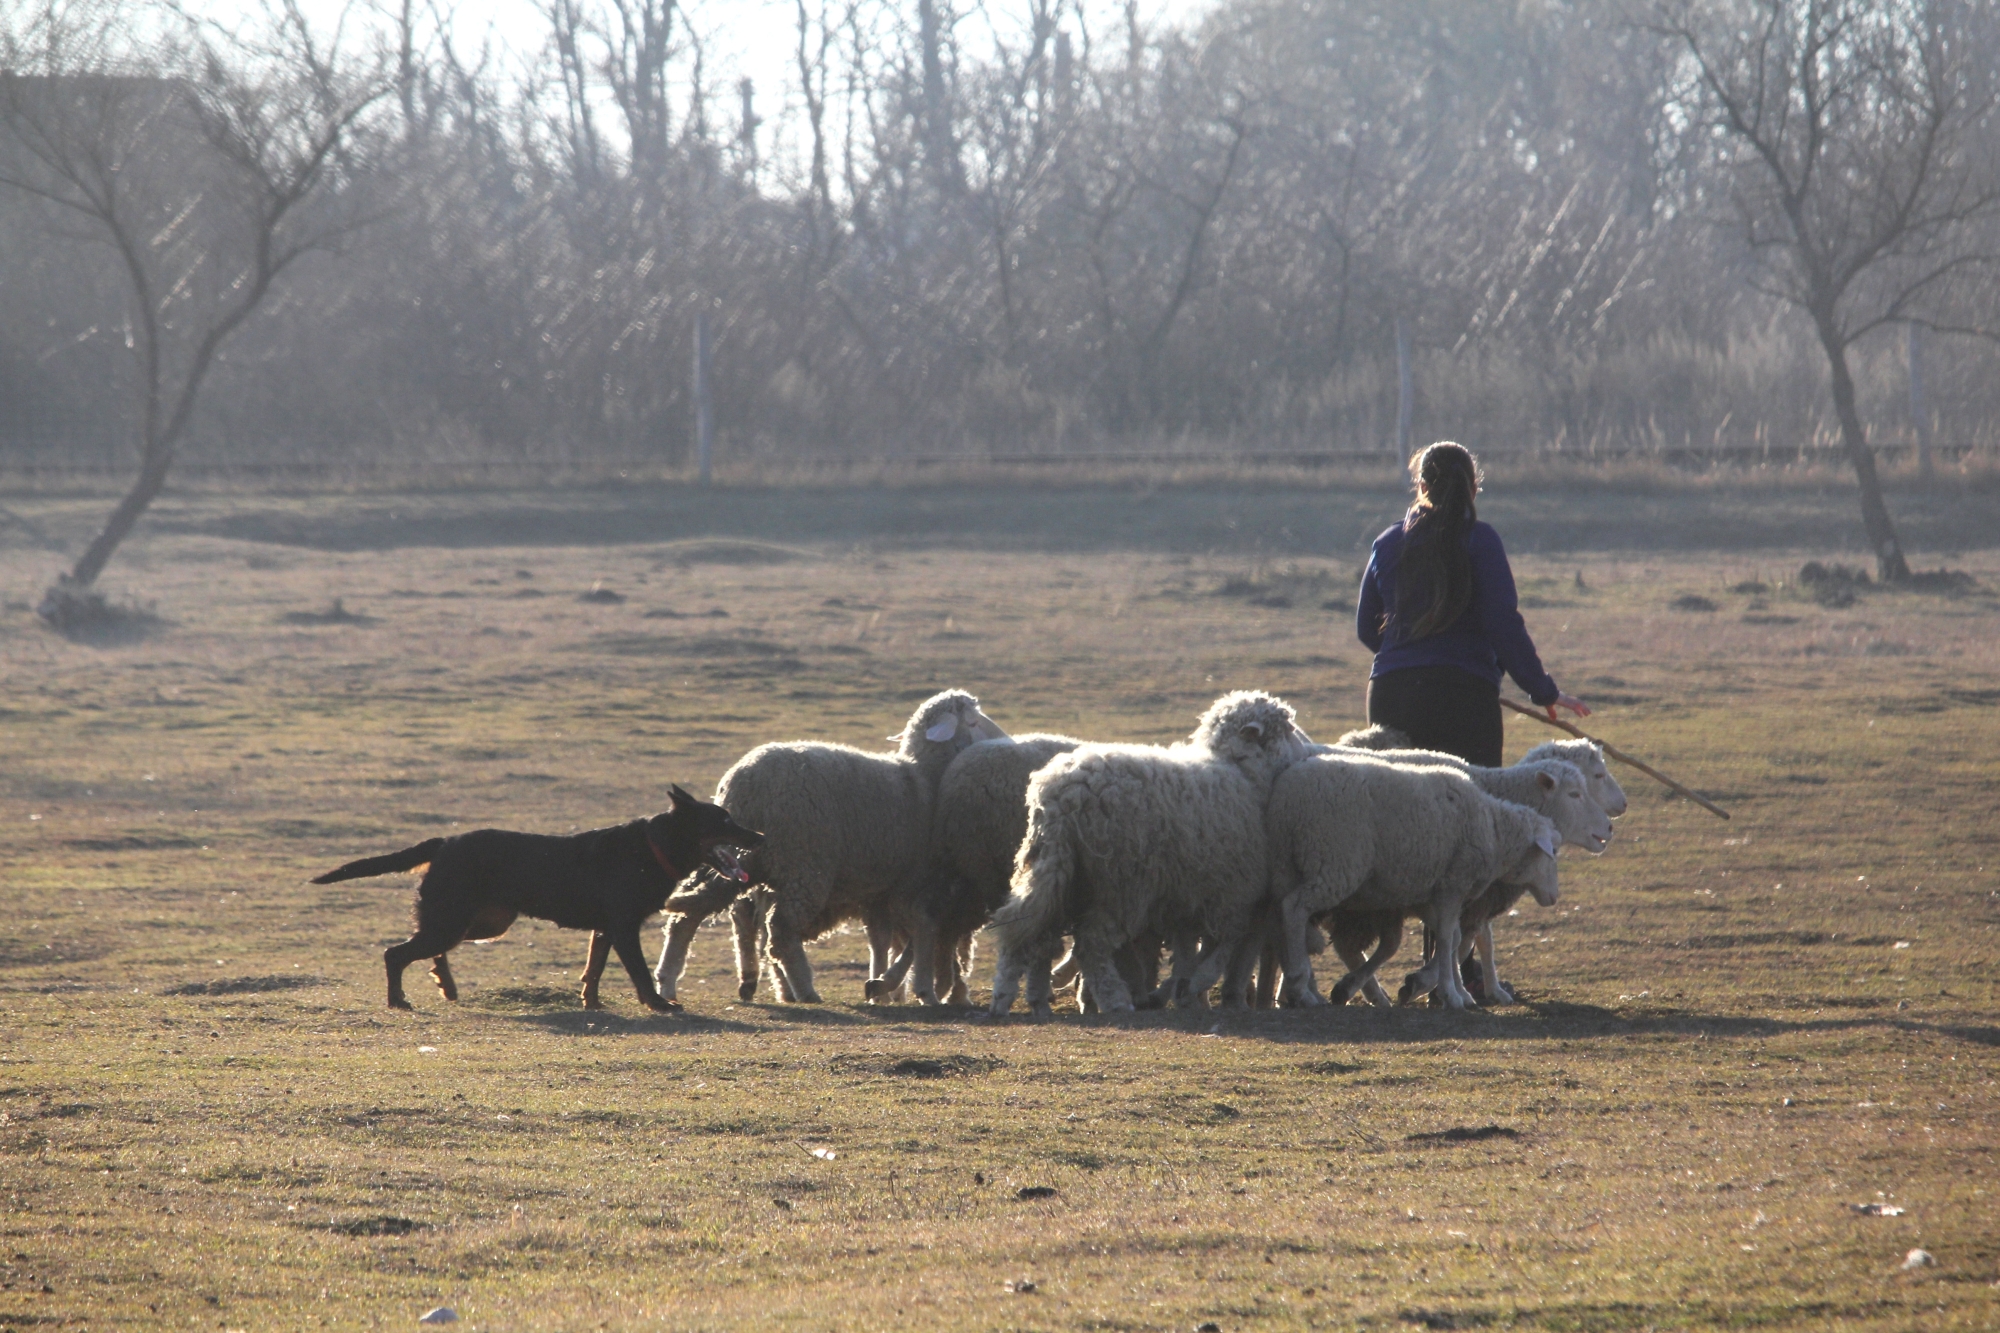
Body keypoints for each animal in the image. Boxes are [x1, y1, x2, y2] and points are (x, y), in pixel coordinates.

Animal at [316, 780, 760, 1008]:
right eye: (724, 820)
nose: (760, 836)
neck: (652, 847)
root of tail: (444, 842)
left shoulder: (605, 930)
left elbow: (594, 970)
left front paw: (591, 1003)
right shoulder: (623, 928)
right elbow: (638, 972)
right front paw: (657, 1004)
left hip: (478, 923)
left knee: (427, 949)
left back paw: (446, 984)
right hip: (455, 921)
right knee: (395, 953)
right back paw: (398, 1000)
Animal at [652, 688, 1008, 1000]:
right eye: (972, 722)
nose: (1003, 738)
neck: (925, 776)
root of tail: (745, 782)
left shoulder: (880, 889)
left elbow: (882, 939)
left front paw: (881, 987)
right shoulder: (916, 883)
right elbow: (920, 935)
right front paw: (900, 986)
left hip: (734, 860)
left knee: (688, 913)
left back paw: (668, 982)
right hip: (805, 864)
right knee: (780, 931)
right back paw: (804, 990)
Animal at [984, 688, 1312, 1012]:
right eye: (1286, 730)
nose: (1307, 753)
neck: (1243, 773)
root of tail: (1062, 796)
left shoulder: (1190, 896)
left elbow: (1187, 952)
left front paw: (1181, 990)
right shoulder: (1233, 893)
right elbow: (1226, 945)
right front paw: (1197, 983)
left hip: (1058, 867)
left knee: (1025, 927)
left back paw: (1007, 996)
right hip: (1120, 883)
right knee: (1090, 943)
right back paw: (1115, 1000)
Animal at [1264, 748, 1560, 1008]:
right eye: (1553, 851)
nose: (1554, 897)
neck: (1494, 830)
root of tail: (1287, 791)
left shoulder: (1429, 895)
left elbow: (1453, 939)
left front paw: (1452, 991)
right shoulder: (1453, 885)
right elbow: (1446, 939)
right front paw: (1451, 995)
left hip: (1285, 864)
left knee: (1281, 914)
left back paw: (1298, 985)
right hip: (1334, 863)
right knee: (1295, 908)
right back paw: (1301, 986)